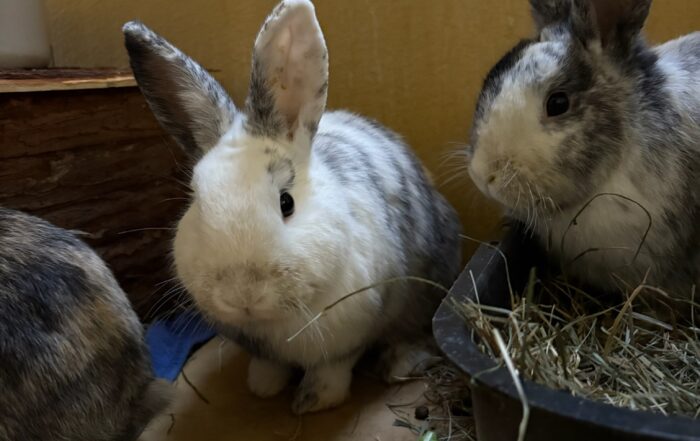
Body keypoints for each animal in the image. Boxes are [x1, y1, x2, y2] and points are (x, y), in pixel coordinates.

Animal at [123, 0, 461, 415]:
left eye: (287, 203)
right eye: (197, 203)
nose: (242, 295)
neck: (277, 319)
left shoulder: (350, 333)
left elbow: (333, 369)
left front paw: (313, 401)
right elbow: (268, 365)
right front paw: (262, 388)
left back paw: (397, 364)